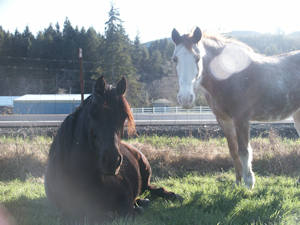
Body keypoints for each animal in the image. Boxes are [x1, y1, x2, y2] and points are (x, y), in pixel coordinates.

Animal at [44, 77, 180, 223]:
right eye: (94, 113)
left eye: (124, 116)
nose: (111, 161)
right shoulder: (68, 212)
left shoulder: (126, 202)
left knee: (152, 188)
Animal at [171, 26, 300, 188]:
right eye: (175, 59)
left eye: (197, 58)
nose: (185, 99)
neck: (228, 76)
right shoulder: (224, 120)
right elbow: (233, 150)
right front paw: (238, 182)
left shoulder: (241, 119)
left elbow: (244, 150)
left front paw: (249, 182)